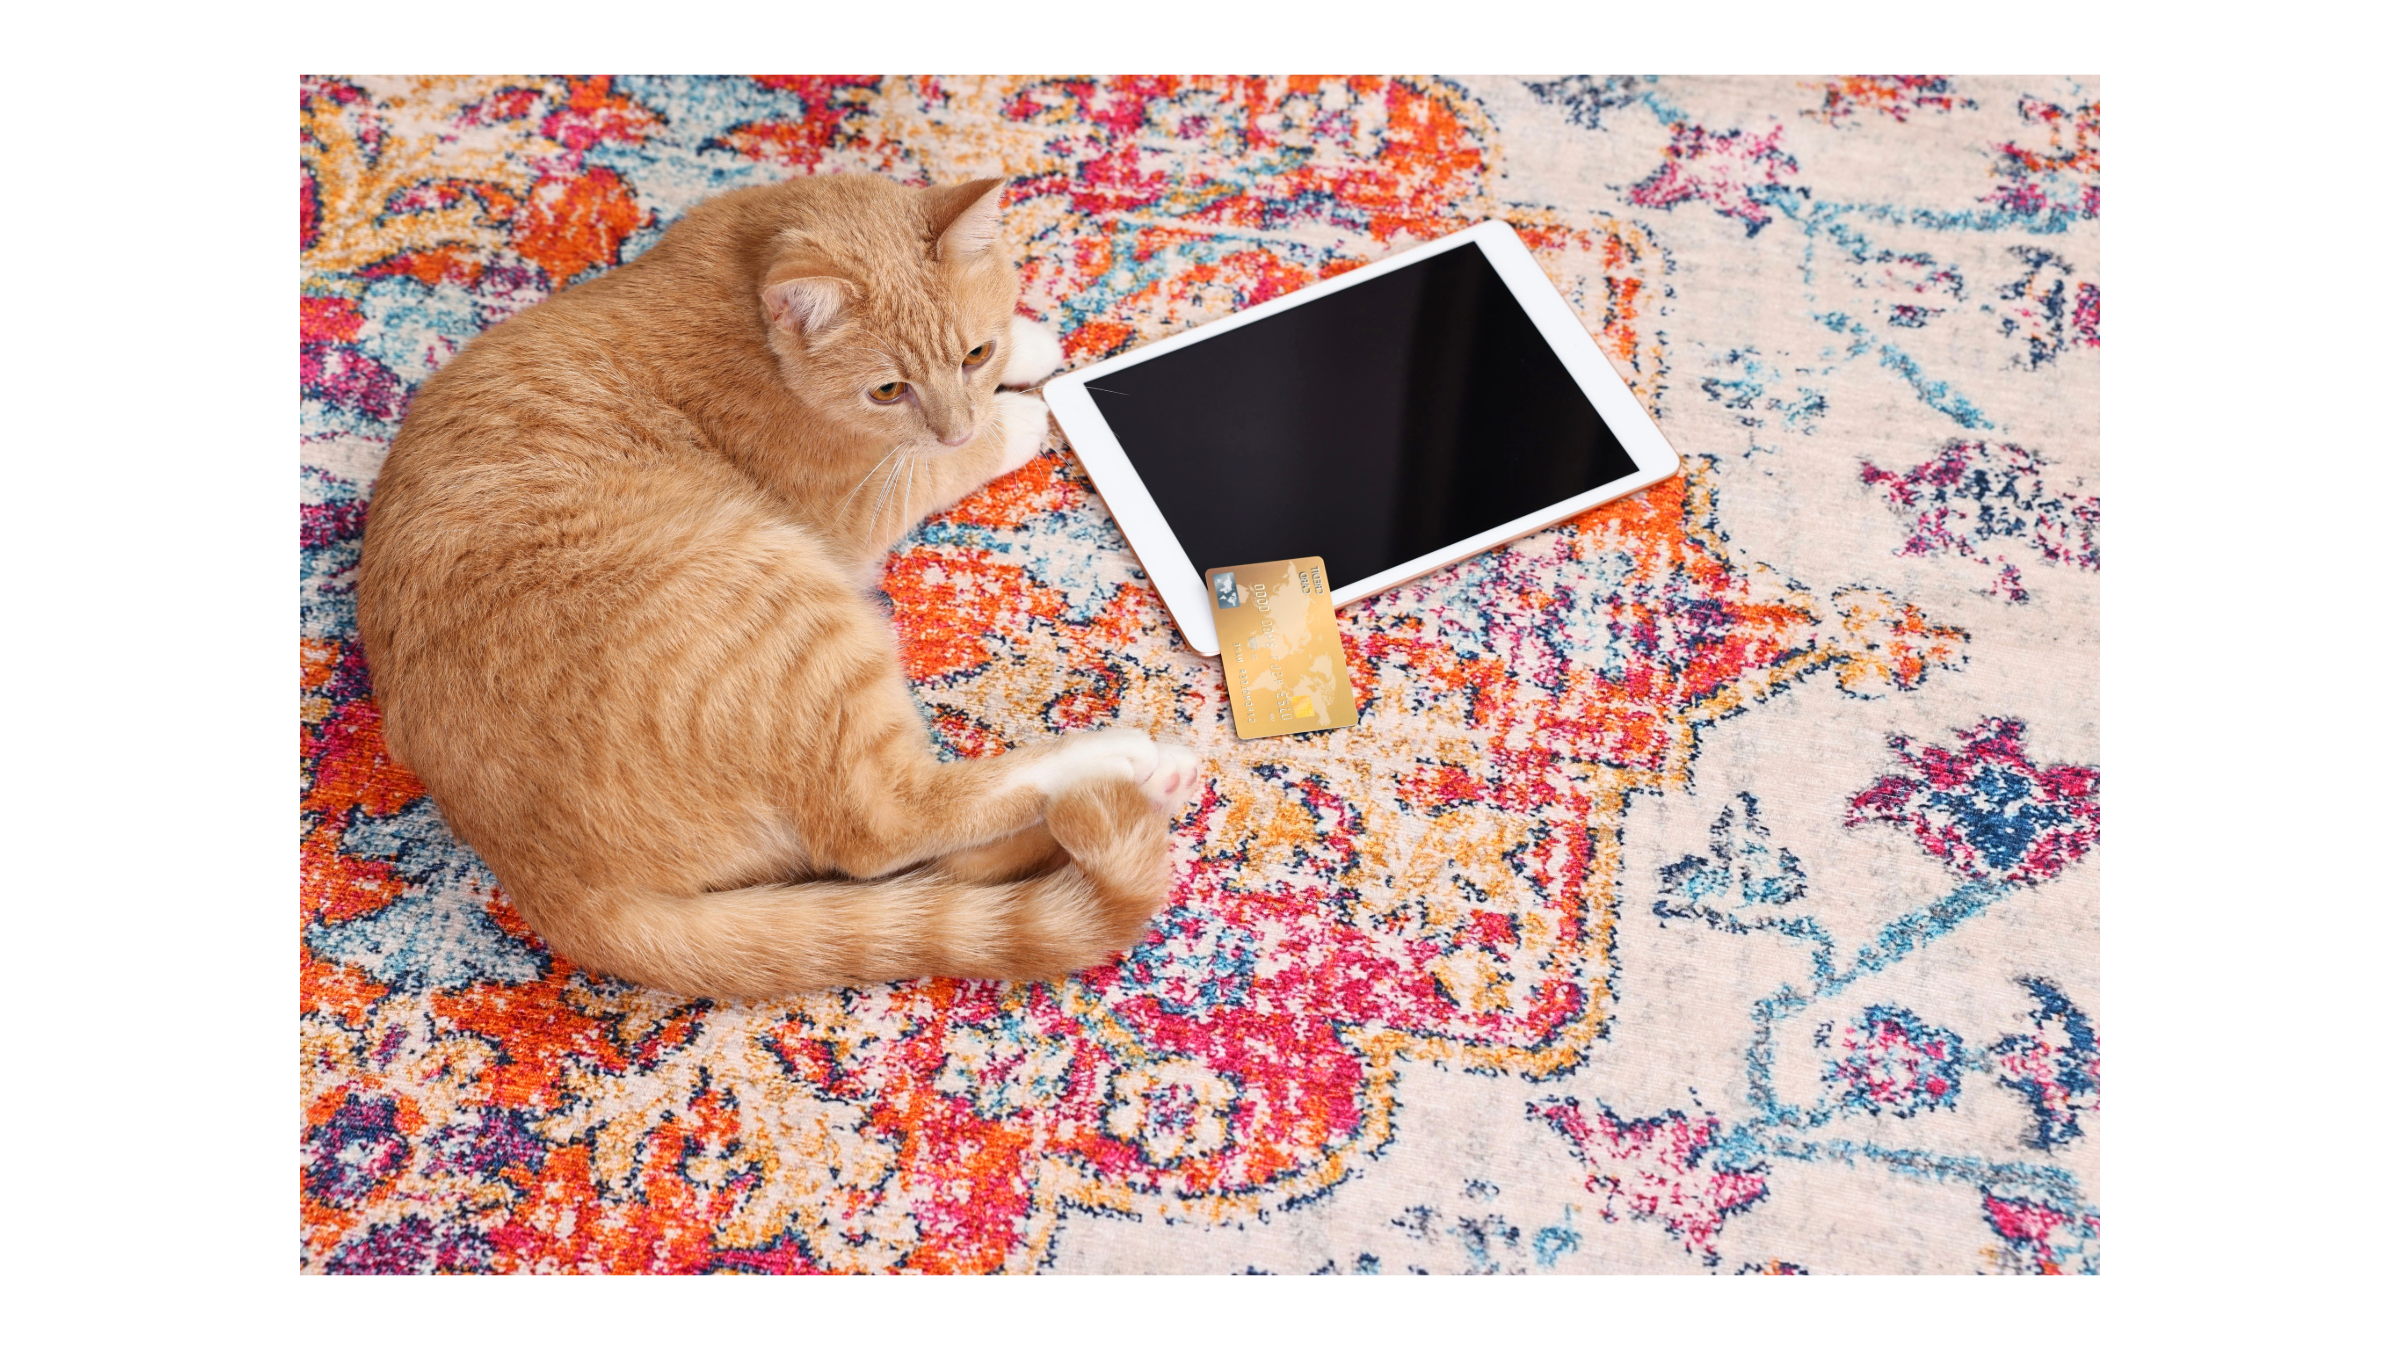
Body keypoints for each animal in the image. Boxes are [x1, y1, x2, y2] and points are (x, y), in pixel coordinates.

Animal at [360, 172, 1200, 994]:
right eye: (888, 391)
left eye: (974, 352)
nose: (959, 421)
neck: (743, 291)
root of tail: (550, 886)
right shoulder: (858, 504)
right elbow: (937, 463)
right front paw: (1013, 418)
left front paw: (1025, 343)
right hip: (792, 611)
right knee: (885, 828)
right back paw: (1121, 761)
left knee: (935, 868)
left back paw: (1155, 786)